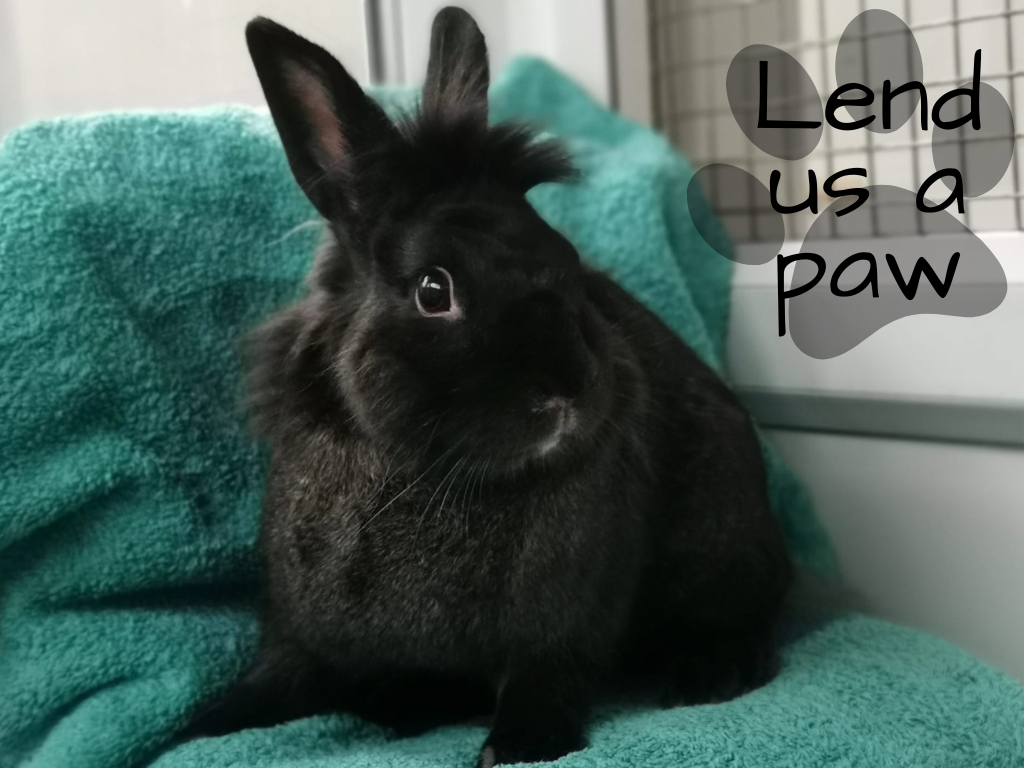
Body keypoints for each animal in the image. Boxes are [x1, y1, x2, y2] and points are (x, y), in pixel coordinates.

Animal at [186, 8, 792, 766]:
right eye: (433, 290)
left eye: (567, 261)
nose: (569, 391)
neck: (432, 474)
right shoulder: (297, 626)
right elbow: (277, 676)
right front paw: (201, 726)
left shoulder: (561, 631)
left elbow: (546, 679)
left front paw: (515, 747)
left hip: (722, 542)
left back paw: (706, 675)